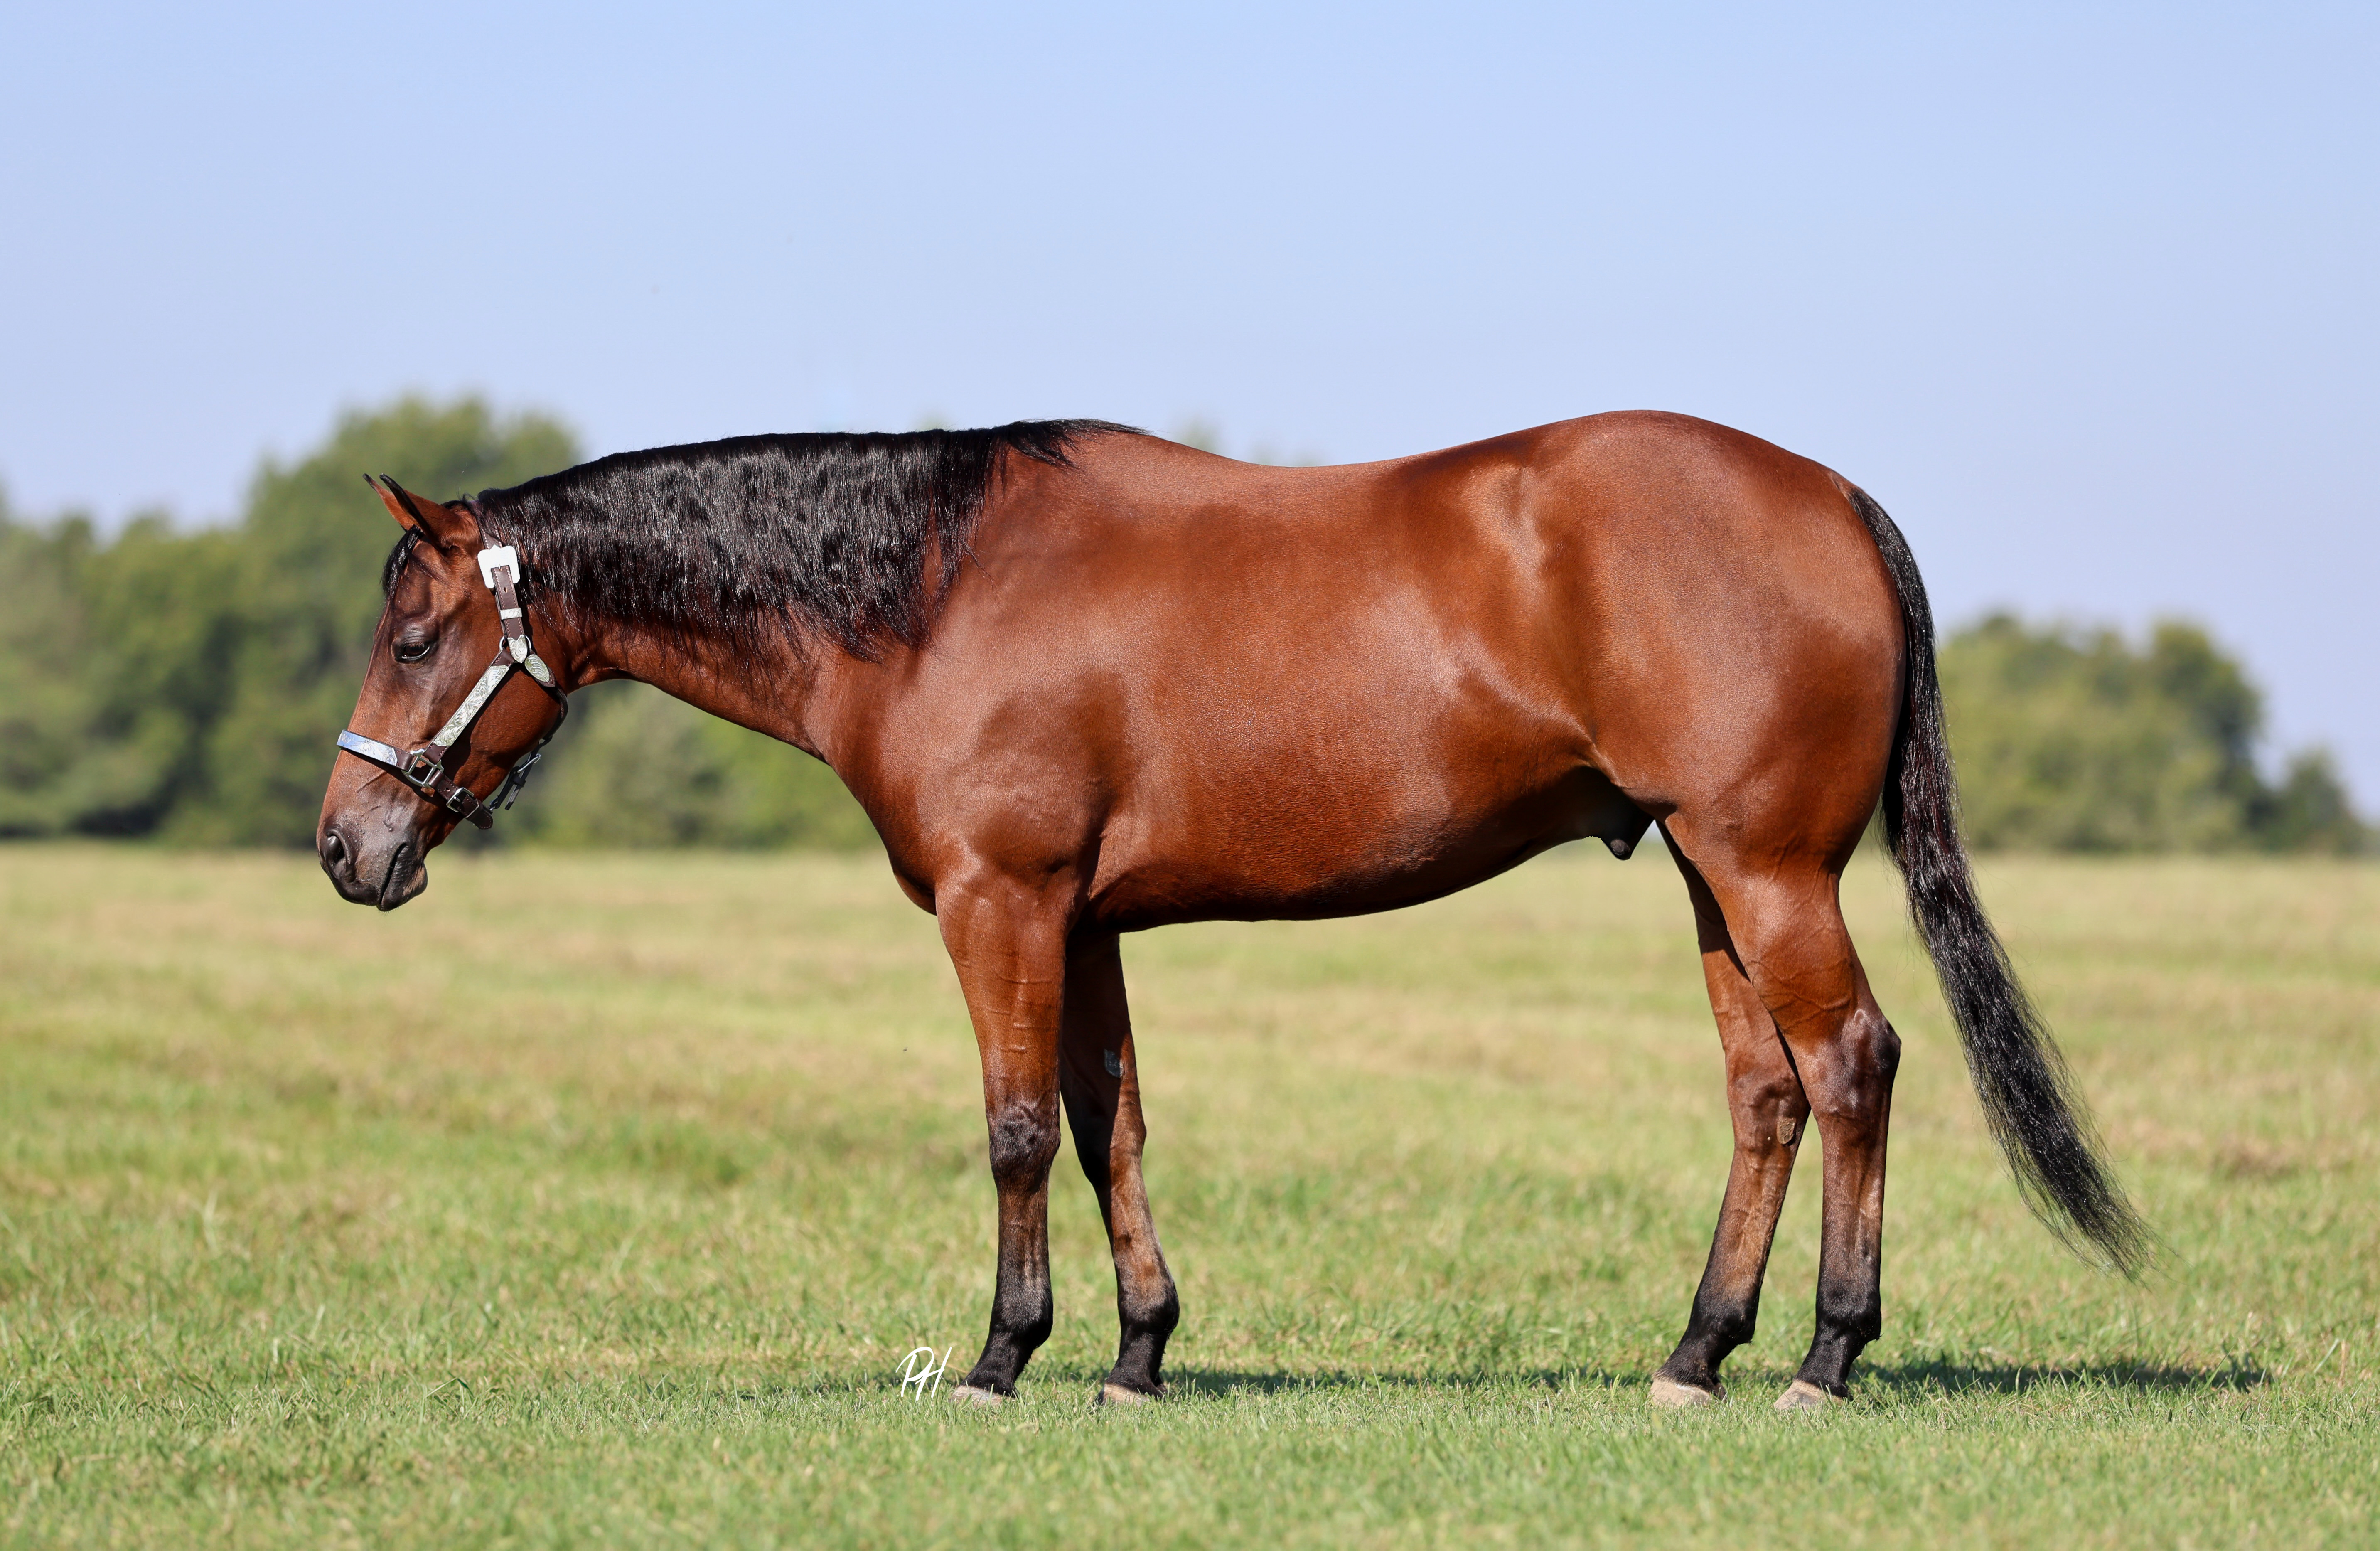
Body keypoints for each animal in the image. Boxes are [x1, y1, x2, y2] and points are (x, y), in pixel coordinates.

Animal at [317, 412, 2144, 1411]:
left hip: (1766, 868)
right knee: (1765, 1093)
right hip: (1711, 873)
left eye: (412, 636)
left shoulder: (1000, 905)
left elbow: (1011, 1131)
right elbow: (1107, 1125)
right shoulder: (1086, 925)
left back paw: (1824, 1358)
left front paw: (999, 1357)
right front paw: (1133, 1355)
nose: (345, 847)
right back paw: (1694, 1352)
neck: (929, 597)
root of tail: (1829, 496)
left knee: (1851, 1065)